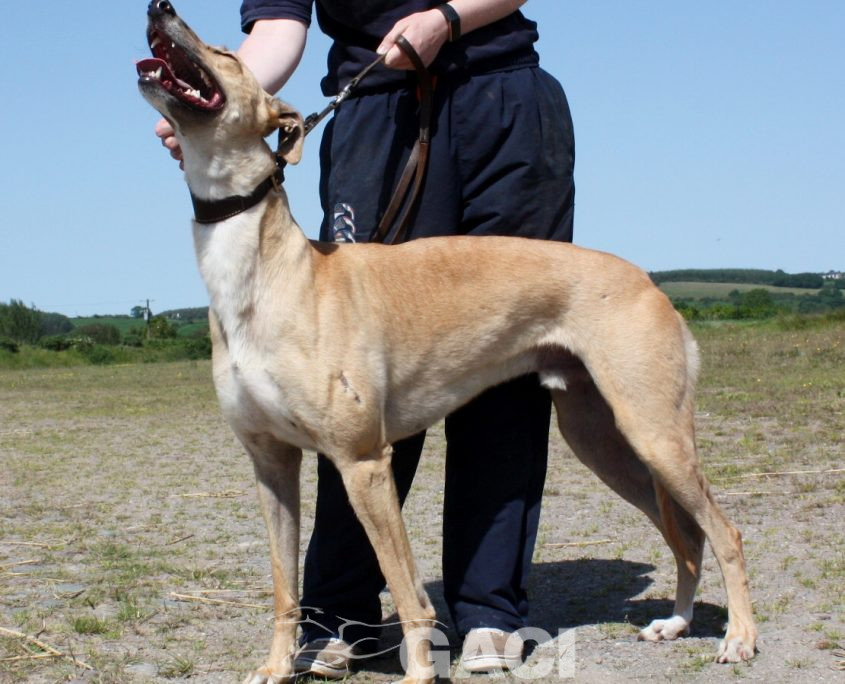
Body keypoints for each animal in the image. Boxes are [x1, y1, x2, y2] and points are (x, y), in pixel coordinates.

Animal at [137, 2, 757, 682]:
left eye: (225, 54)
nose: (160, 8)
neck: (272, 274)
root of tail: (647, 279)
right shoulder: (271, 462)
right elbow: (284, 589)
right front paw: (277, 668)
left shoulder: (363, 460)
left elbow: (409, 592)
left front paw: (419, 671)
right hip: (602, 435)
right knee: (687, 535)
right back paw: (676, 622)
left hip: (654, 431)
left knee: (724, 532)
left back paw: (739, 638)